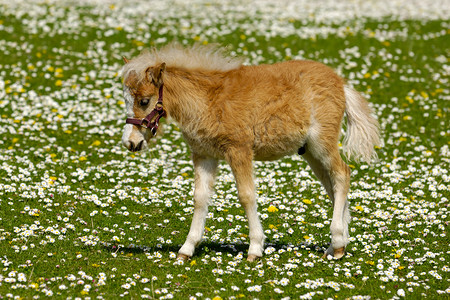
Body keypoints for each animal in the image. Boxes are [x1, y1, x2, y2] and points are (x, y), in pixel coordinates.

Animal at [119, 43, 380, 262]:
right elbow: (200, 198)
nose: (130, 143)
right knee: (332, 184)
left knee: (342, 174)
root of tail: (341, 83)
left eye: (144, 101)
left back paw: (337, 242)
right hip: (309, 152)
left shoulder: (239, 150)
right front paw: (187, 248)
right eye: (126, 100)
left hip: (322, 143)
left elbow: (246, 195)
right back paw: (337, 245)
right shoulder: (204, 154)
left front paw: (255, 248)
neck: (207, 99)